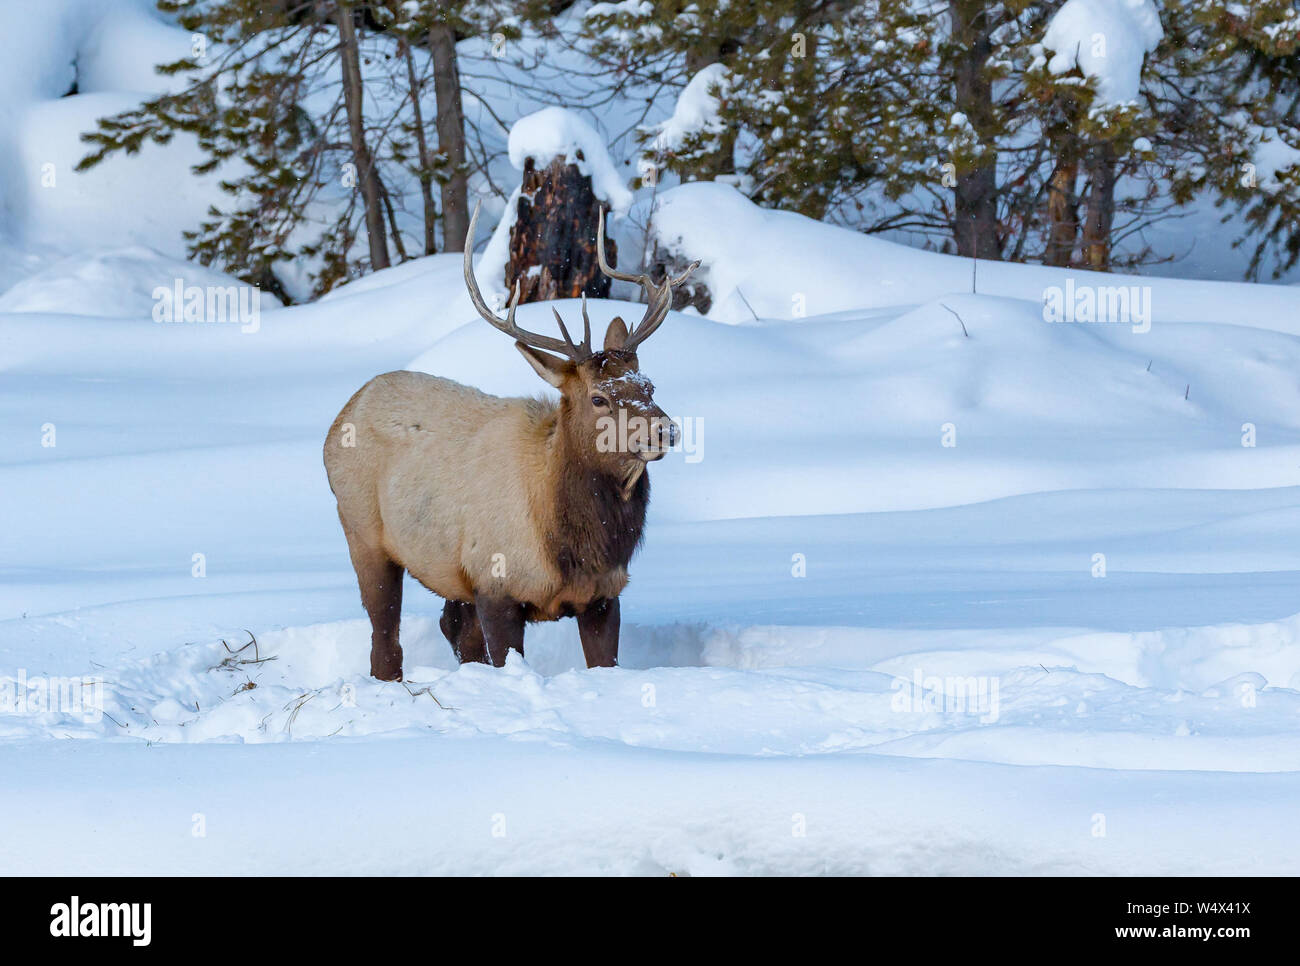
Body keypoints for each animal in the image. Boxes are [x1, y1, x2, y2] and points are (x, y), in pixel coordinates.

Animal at [321, 205, 696, 681]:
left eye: (649, 385)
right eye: (599, 397)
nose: (665, 430)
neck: (572, 543)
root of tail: (344, 413)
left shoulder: (603, 596)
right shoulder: (495, 584)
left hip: (449, 572)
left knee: (453, 627)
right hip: (364, 533)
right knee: (385, 637)